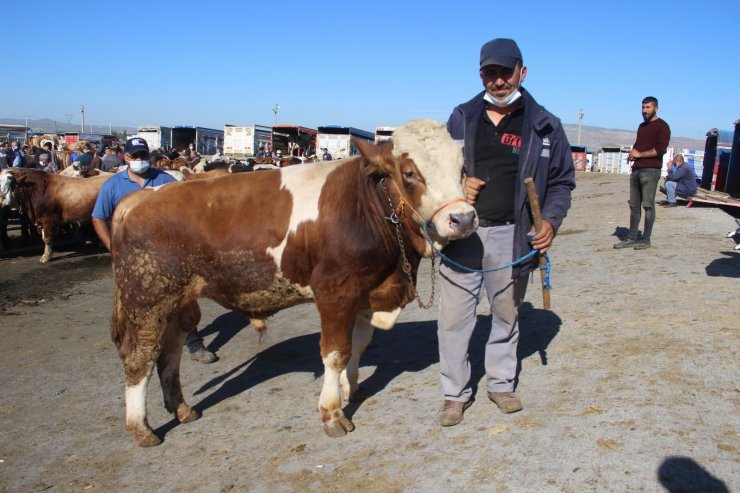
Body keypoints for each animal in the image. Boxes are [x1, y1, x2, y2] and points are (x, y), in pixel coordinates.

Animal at [112, 119, 476, 446]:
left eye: (461, 169)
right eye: (410, 173)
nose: (462, 218)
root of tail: (142, 197)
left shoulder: (367, 292)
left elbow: (359, 344)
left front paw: (353, 387)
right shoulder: (335, 293)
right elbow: (336, 353)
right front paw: (332, 413)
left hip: (177, 302)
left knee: (169, 354)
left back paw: (182, 409)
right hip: (147, 300)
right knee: (140, 357)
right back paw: (141, 428)